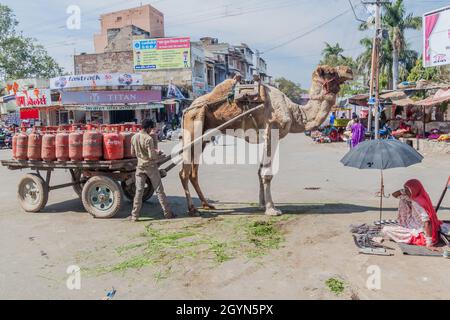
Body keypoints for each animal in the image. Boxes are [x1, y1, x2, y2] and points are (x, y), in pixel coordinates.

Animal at [178, 64, 352, 215]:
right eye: (330, 71)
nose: (349, 70)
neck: (294, 111)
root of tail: (187, 108)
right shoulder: (272, 131)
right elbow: (267, 173)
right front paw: (271, 209)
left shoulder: (266, 135)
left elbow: (259, 170)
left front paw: (261, 204)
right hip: (194, 123)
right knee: (184, 171)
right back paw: (191, 209)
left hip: (204, 135)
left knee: (193, 171)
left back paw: (206, 204)